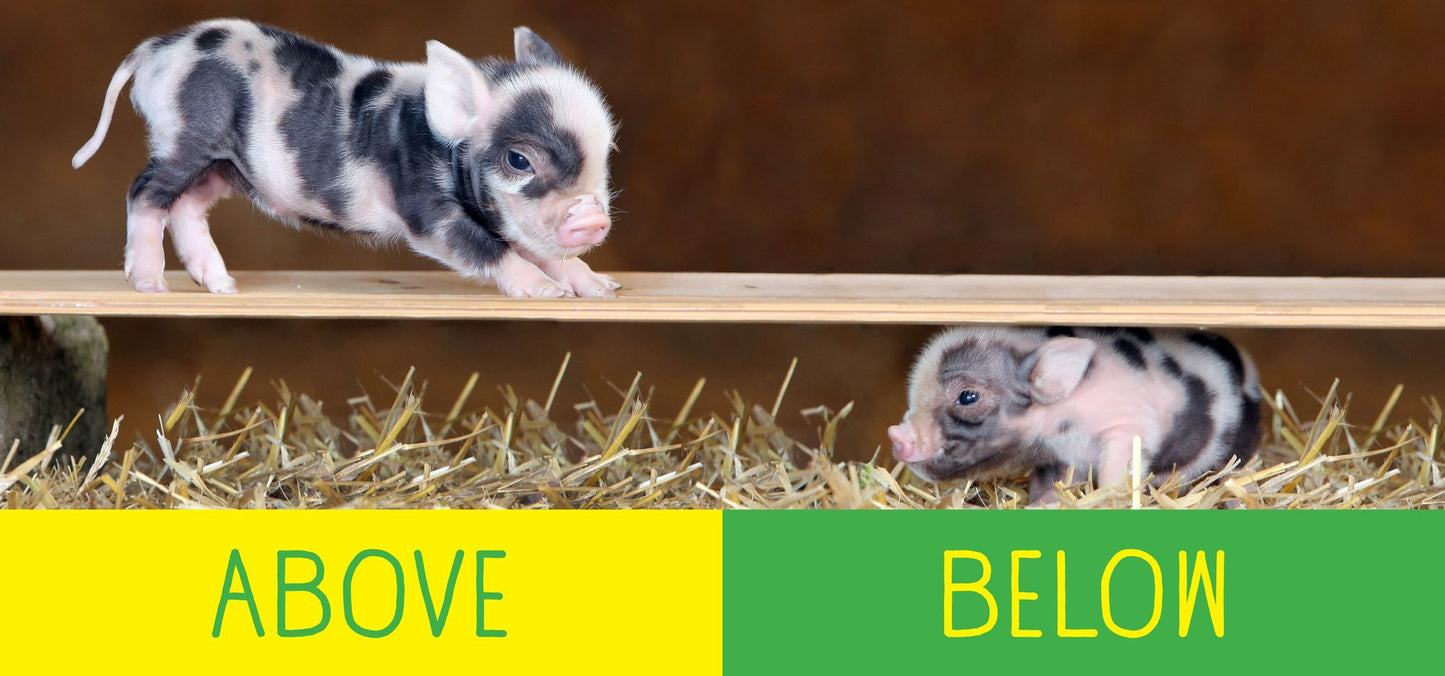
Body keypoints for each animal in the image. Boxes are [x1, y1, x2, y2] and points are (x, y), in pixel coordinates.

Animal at [71, 19, 619, 298]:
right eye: (519, 161)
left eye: (607, 153)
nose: (594, 220)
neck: (442, 144)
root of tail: (155, 50)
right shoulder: (426, 212)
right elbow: (486, 247)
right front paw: (546, 293)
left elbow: (535, 248)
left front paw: (601, 288)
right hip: (186, 137)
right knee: (145, 192)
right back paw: (150, 285)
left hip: (222, 166)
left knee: (186, 207)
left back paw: (223, 287)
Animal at [888, 326, 1262, 504]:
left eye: (968, 396)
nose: (896, 435)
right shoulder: (1060, 457)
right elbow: (1050, 485)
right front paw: (1042, 505)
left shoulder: (1128, 426)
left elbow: (1115, 472)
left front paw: (1111, 497)